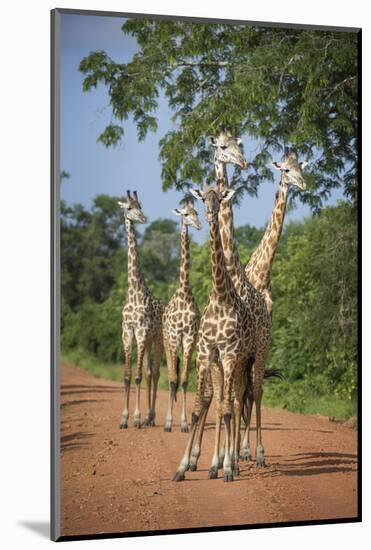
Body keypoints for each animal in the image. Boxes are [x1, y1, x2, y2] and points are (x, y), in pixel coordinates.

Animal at [174, 188, 256, 486]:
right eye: (202, 199)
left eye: (220, 199)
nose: (210, 213)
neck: (221, 296)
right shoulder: (206, 352)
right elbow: (199, 408)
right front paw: (182, 467)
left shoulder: (230, 354)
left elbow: (229, 409)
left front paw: (229, 468)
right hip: (220, 364)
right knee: (223, 402)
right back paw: (214, 464)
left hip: (244, 362)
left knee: (237, 402)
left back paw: (233, 462)